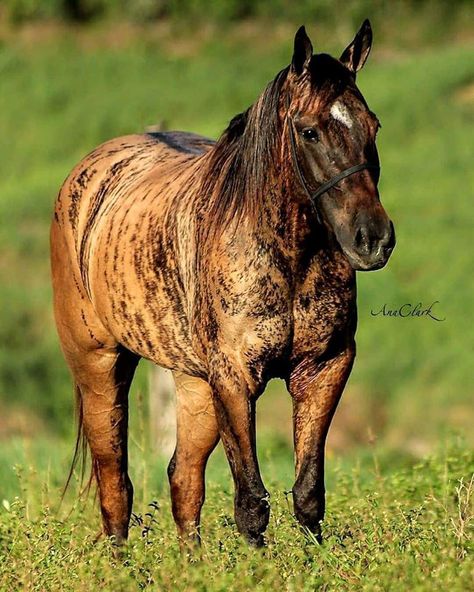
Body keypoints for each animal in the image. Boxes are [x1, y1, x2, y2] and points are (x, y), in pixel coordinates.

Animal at [50, 20, 394, 548]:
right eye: (309, 131)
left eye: (372, 126)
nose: (373, 240)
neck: (285, 257)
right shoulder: (234, 378)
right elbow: (251, 503)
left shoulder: (324, 368)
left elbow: (307, 495)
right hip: (98, 363)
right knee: (115, 482)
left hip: (193, 382)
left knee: (183, 478)